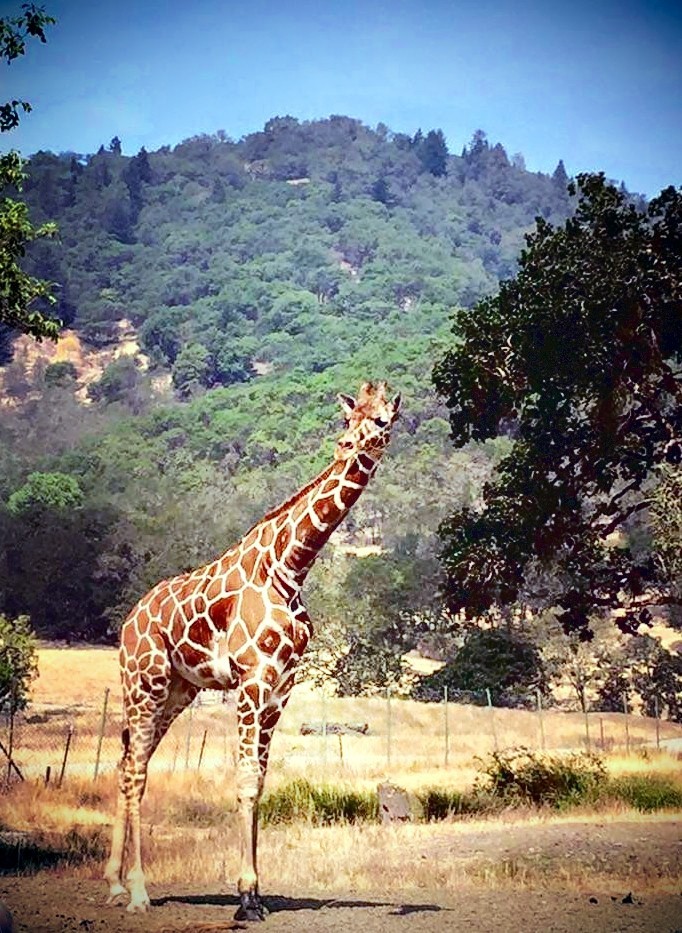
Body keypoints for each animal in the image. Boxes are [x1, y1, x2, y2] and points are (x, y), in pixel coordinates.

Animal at [104, 381, 401, 921]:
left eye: (383, 419)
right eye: (349, 421)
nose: (349, 447)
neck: (291, 567)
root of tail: (130, 620)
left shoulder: (281, 687)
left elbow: (260, 783)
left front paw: (258, 892)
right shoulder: (251, 679)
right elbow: (244, 780)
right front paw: (244, 898)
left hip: (177, 690)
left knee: (128, 763)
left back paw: (113, 884)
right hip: (143, 680)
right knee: (134, 768)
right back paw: (137, 892)